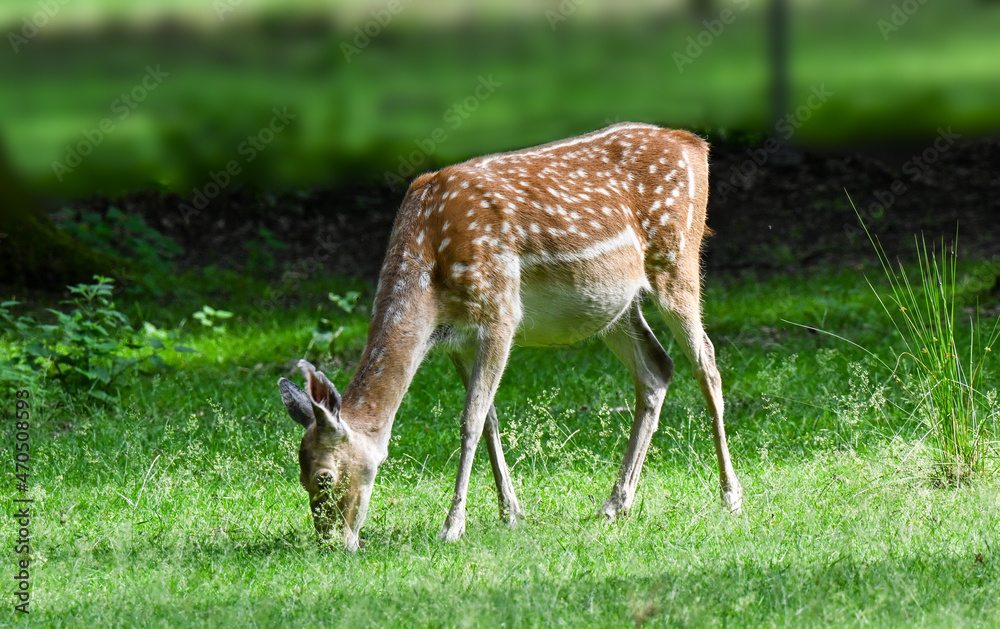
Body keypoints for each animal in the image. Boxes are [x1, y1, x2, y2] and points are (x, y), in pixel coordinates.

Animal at [280, 122, 744, 548]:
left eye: (324, 477)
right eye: (300, 475)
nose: (331, 542)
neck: (430, 268)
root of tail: (695, 145)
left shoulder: (500, 309)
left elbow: (470, 419)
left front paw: (453, 526)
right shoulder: (457, 339)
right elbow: (489, 418)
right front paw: (510, 512)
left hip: (677, 257)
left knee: (706, 361)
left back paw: (730, 496)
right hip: (614, 305)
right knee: (656, 368)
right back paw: (615, 504)